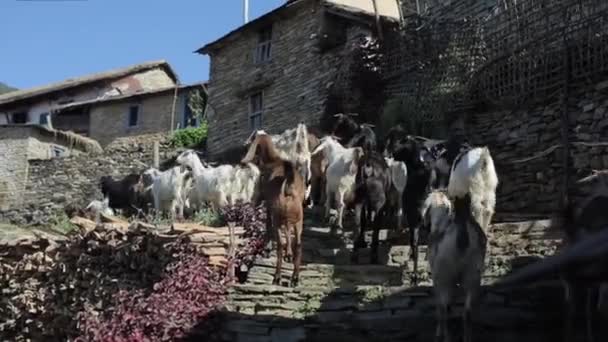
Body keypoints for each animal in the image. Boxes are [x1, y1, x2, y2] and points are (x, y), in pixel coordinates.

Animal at [242, 132, 306, 288]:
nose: (244, 144)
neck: (272, 161)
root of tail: (288, 188)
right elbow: (287, 234)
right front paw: (289, 255)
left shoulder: (269, 207)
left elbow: (267, 225)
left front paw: (267, 247)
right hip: (298, 220)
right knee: (298, 244)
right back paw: (295, 278)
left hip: (279, 217)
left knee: (280, 244)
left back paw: (277, 278)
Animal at [420, 191, 486, 342]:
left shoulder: (437, 278)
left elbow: (440, 305)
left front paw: (438, 332)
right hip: (473, 274)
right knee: (467, 311)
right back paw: (467, 337)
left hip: (445, 275)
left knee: (444, 309)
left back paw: (445, 337)